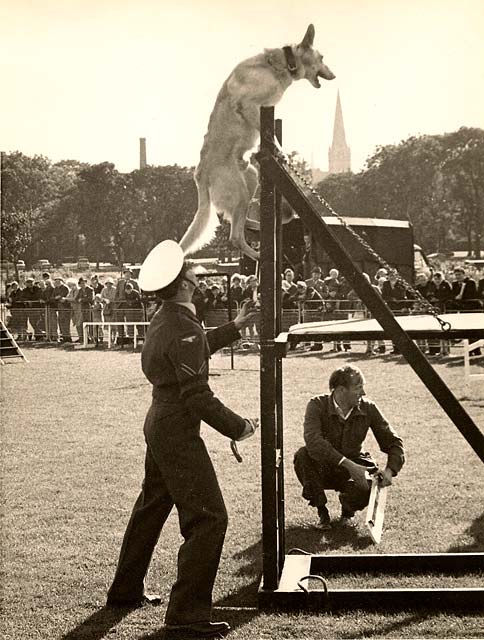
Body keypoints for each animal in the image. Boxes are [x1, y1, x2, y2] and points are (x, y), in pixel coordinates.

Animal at [180, 25, 334, 260]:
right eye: (322, 57)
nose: (334, 75)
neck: (278, 65)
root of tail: (200, 176)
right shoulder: (249, 105)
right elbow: (268, 134)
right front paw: (280, 152)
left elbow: (268, 135)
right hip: (240, 191)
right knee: (235, 236)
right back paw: (260, 254)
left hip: (250, 177)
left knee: (236, 222)